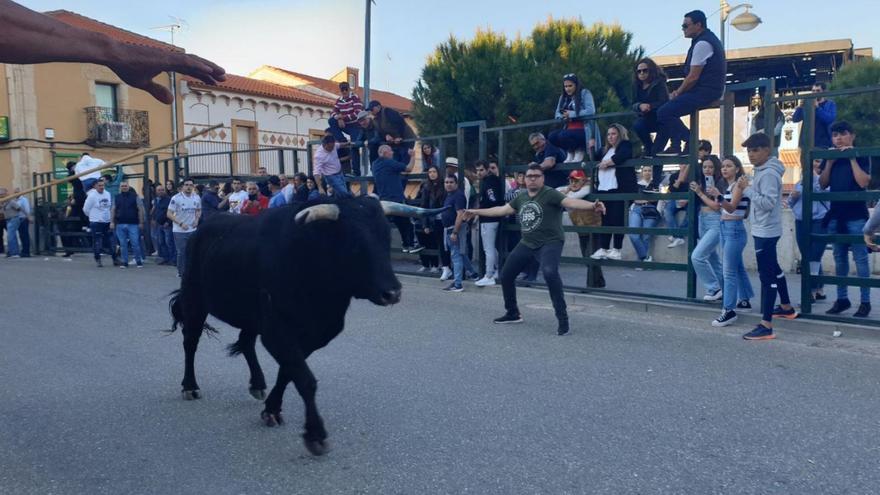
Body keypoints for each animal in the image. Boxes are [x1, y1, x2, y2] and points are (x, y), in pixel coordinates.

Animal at [168, 196, 446, 456]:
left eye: (386, 237)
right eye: (354, 243)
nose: (392, 292)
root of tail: (203, 229)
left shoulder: (313, 335)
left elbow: (288, 372)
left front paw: (272, 409)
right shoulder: (278, 332)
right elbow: (305, 378)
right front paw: (315, 434)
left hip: (251, 316)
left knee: (245, 342)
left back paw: (257, 384)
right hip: (195, 301)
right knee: (190, 342)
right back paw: (190, 386)